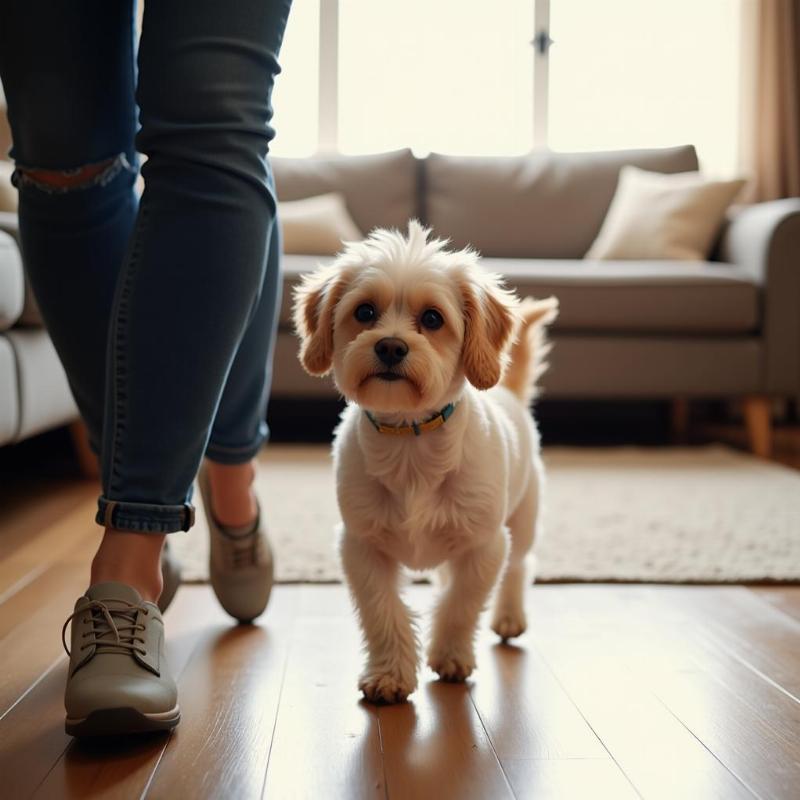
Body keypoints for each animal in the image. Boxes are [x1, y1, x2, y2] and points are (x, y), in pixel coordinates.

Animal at [292, 222, 556, 704]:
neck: (409, 447)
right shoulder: (362, 547)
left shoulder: (485, 545)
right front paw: (390, 674)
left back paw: (509, 616)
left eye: (433, 319)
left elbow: (460, 606)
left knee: (519, 568)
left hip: (523, 522)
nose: (391, 347)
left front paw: (450, 655)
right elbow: (383, 611)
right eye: (365, 311)